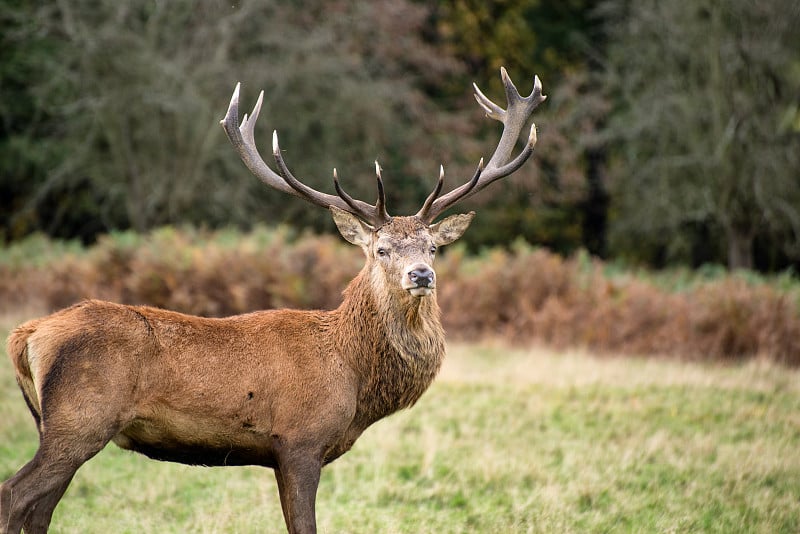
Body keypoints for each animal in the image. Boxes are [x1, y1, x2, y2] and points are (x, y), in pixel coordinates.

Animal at [0, 68, 544, 534]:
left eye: (432, 247)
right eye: (381, 249)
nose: (421, 275)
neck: (353, 373)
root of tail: (27, 333)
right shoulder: (299, 441)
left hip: (57, 425)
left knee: (39, 508)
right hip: (79, 420)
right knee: (14, 494)